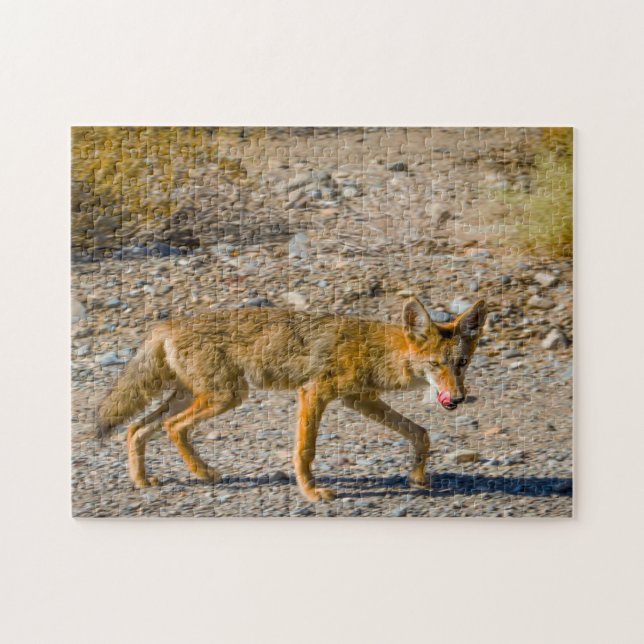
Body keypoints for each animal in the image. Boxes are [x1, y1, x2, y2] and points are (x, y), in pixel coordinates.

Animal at [97, 296, 487, 502]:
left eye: (462, 363)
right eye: (435, 365)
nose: (457, 398)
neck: (377, 350)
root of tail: (166, 326)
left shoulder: (361, 400)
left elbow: (420, 433)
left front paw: (418, 477)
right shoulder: (314, 393)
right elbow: (305, 450)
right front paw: (312, 492)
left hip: (196, 396)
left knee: (136, 429)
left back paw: (143, 481)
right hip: (226, 397)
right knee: (170, 427)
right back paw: (204, 473)